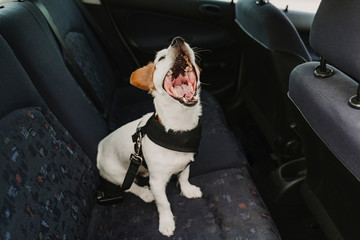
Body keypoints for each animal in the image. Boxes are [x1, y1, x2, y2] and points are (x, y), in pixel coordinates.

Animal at [95, 37, 202, 236]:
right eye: (161, 58)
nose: (178, 40)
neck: (178, 129)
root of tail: (100, 147)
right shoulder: (157, 182)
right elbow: (164, 203)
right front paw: (166, 222)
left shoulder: (186, 162)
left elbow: (184, 177)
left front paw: (188, 190)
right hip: (117, 174)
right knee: (130, 187)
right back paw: (145, 193)